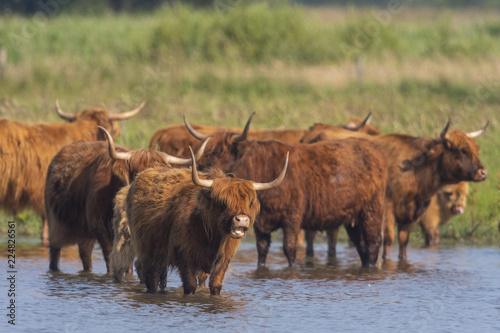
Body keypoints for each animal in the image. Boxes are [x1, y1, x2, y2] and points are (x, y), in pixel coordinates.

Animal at [44, 126, 205, 274]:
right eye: (135, 173)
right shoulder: (99, 226)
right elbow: (110, 257)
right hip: (55, 222)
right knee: (55, 250)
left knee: (85, 252)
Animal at [127, 148, 288, 294]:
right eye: (223, 202)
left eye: (249, 202)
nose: (242, 219)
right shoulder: (182, 252)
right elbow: (190, 285)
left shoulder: (224, 257)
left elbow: (215, 285)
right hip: (148, 250)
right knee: (150, 277)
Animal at [186, 117, 388, 268]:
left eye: (218, 151)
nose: (200, 168)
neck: (262, 168)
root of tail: (374, 149)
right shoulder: (260, 223)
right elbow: (262, 250)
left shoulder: (292, 217)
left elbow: (289, 249)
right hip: (353, 218)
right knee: (362, 246)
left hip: (371, 211)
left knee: (373, 243)